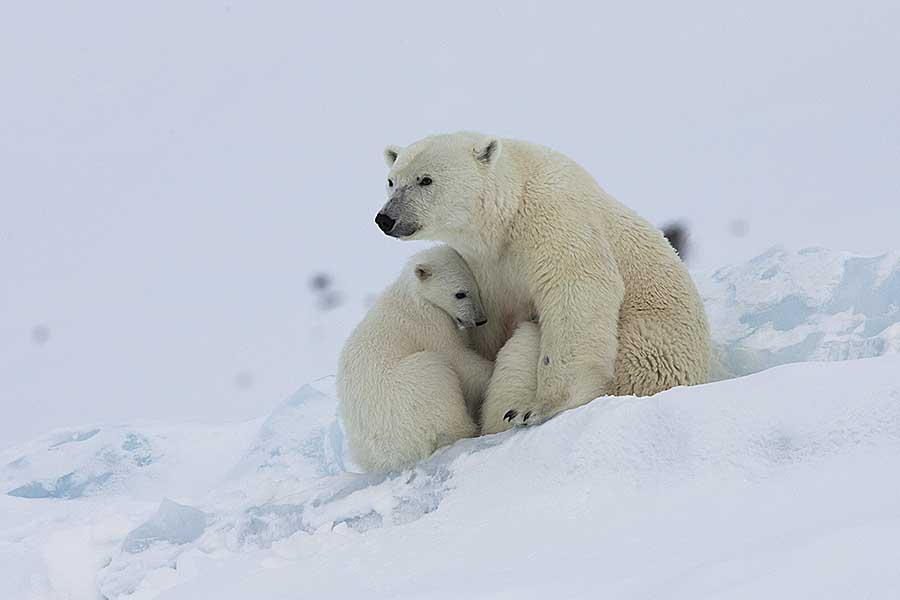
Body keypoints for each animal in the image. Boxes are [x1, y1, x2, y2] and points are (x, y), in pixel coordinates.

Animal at [374, 133, 712, 428]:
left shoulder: (556, 218)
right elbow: (490, 322)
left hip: (641, 357)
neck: (507, 214)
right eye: (391, 181)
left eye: (425, 179)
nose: (385, 218)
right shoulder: (485, 268)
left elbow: (577, 290)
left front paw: (534, 407)